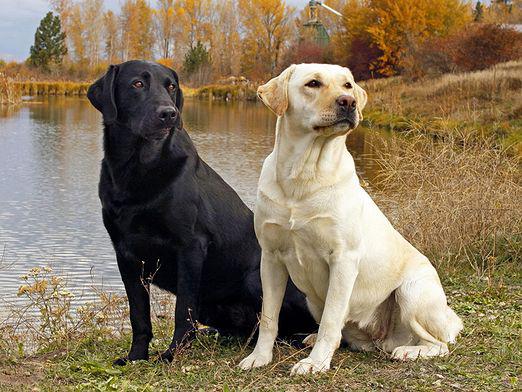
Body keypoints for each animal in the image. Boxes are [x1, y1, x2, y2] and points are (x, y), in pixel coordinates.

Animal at [86, 60, 312, 364]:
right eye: (137, 84)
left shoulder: (191, 246)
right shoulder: (126, 254)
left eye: (171, 86)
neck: (137, 169)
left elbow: (183, 311)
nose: (169, 114)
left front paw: (172, 354)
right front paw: (136, 356)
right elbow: (139, 314)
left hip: (257, 279)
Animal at [238, 63, 462, 374]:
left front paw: (316, 363)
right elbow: (269, 318)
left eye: (347, 85)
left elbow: (331, 320)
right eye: (313, 83)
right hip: (313, 299)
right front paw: (259, 357)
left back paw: (409, 351)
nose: (349, 102)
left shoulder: (343, 259)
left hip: (413, 291)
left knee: (439, 344)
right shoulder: (270, 257)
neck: (304, 175)